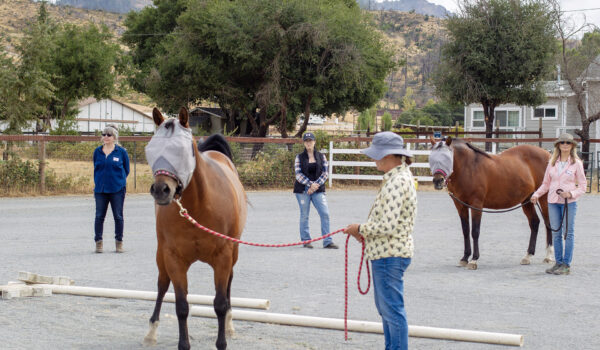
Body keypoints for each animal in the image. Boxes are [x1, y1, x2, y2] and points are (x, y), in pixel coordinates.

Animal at [143, 107, 246, 350]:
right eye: (151, 148)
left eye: (181, 150)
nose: (161, 190)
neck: (199, 205)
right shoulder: (173, 258)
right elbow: (181, 306)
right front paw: (184, 344)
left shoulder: (223, 256)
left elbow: (220, 303)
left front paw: (221, 342)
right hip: (161, 255)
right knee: (162, 285)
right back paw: (151, 331)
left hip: (233, 254)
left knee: (229, 284)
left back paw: (229, 324)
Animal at [426, 136, 552, 268]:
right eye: (432, 157)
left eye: (447, 157)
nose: (438, 181)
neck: (469, 167)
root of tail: (547, 154)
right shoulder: (460, 205)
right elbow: (465, 231)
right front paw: (464, 258)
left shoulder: (476, 205)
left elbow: (475, 231)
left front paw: (474, 260)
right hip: (527, 200)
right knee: (534, 223)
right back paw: (528, 256)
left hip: (544, 198)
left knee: (548, 223)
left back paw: (548, 256)